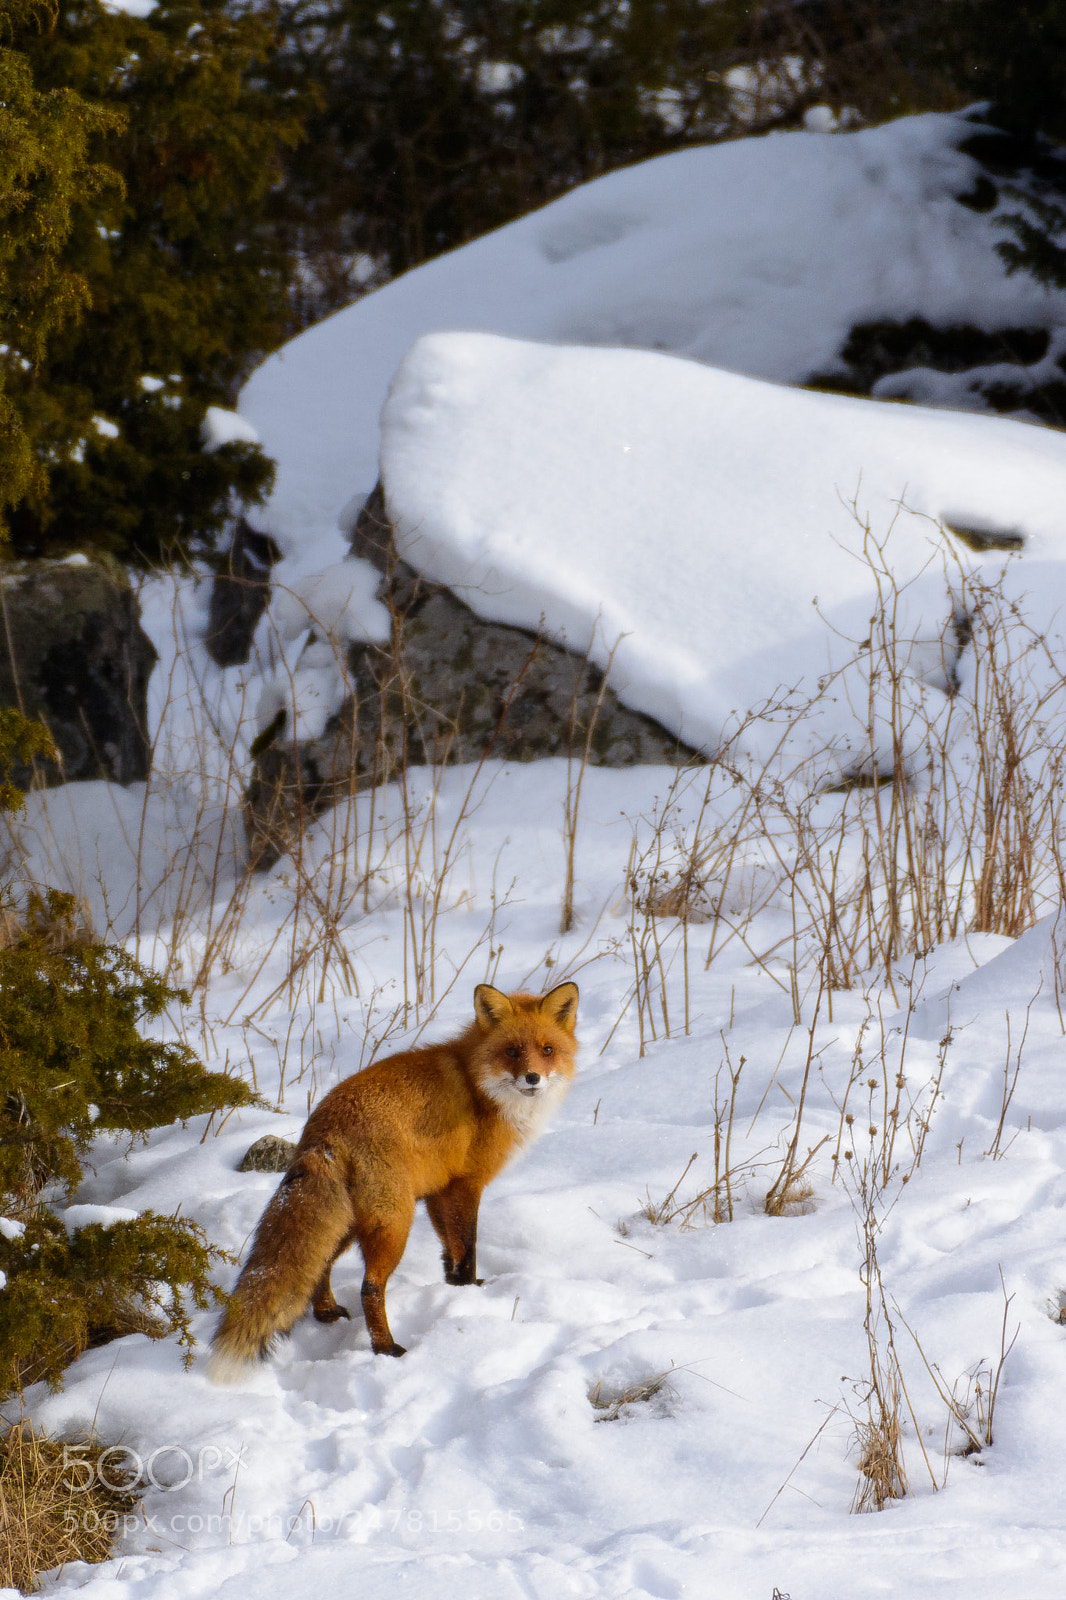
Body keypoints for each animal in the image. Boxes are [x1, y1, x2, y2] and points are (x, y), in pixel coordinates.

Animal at [207, 980, 578, 1378]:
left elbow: (450, 1248)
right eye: (511, 1051)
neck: (479, 1087)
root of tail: (326, 1129)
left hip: (349, 1221)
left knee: (320, 1265)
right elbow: (468, 1247)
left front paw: (455, 1286)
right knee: (369, 1288)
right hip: (394, 1222)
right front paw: (470, 1289)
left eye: (547, 1050)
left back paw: (326, 1314)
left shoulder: (437, 1191)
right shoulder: (466, 1184)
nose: (533, 1078)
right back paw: (386, 1348)